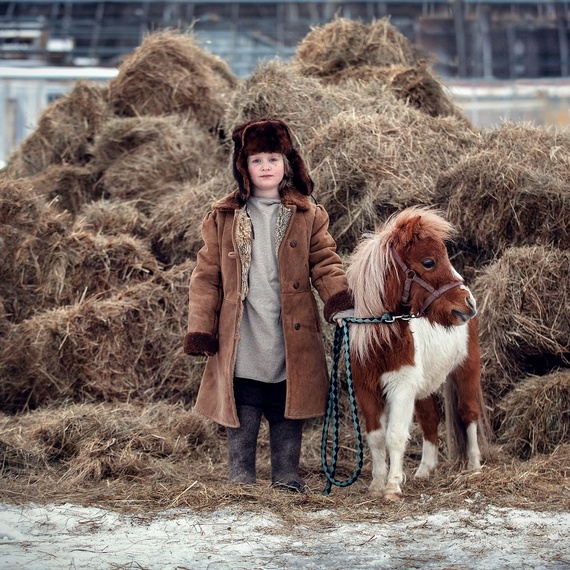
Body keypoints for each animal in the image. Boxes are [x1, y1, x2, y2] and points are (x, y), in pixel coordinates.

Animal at [346, 206, 484, 500]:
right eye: (429, 262)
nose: (468, 303)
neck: (382, 340)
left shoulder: (401, 388)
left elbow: (395, 436)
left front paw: (392, 486)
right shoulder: (366, 391)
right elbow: (376, 437)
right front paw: (377, 484)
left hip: (467, 371)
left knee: (469, 414)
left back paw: (475, 466)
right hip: (424, 387)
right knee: (430, 419)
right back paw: (424, 471)